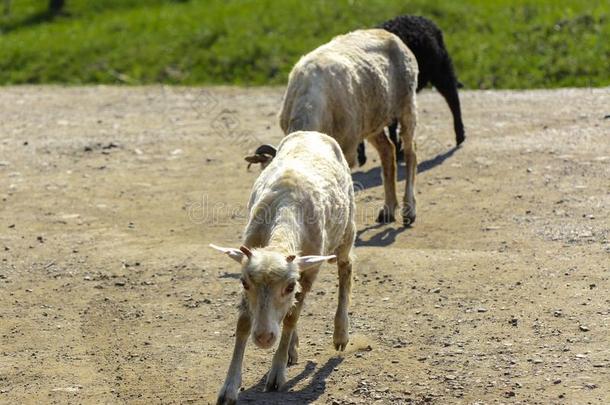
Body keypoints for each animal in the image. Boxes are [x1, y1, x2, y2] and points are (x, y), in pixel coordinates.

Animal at [211, 131, 354, 402]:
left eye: (289, 286)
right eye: (244, 283)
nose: (264, 337)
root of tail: (313, 133)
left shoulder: (307, 274)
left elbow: (291, 317)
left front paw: (276, 373)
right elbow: (243, 324)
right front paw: (229, 387)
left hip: (347, 230)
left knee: (346, 269)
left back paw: (340, 333)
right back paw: (291, 348)